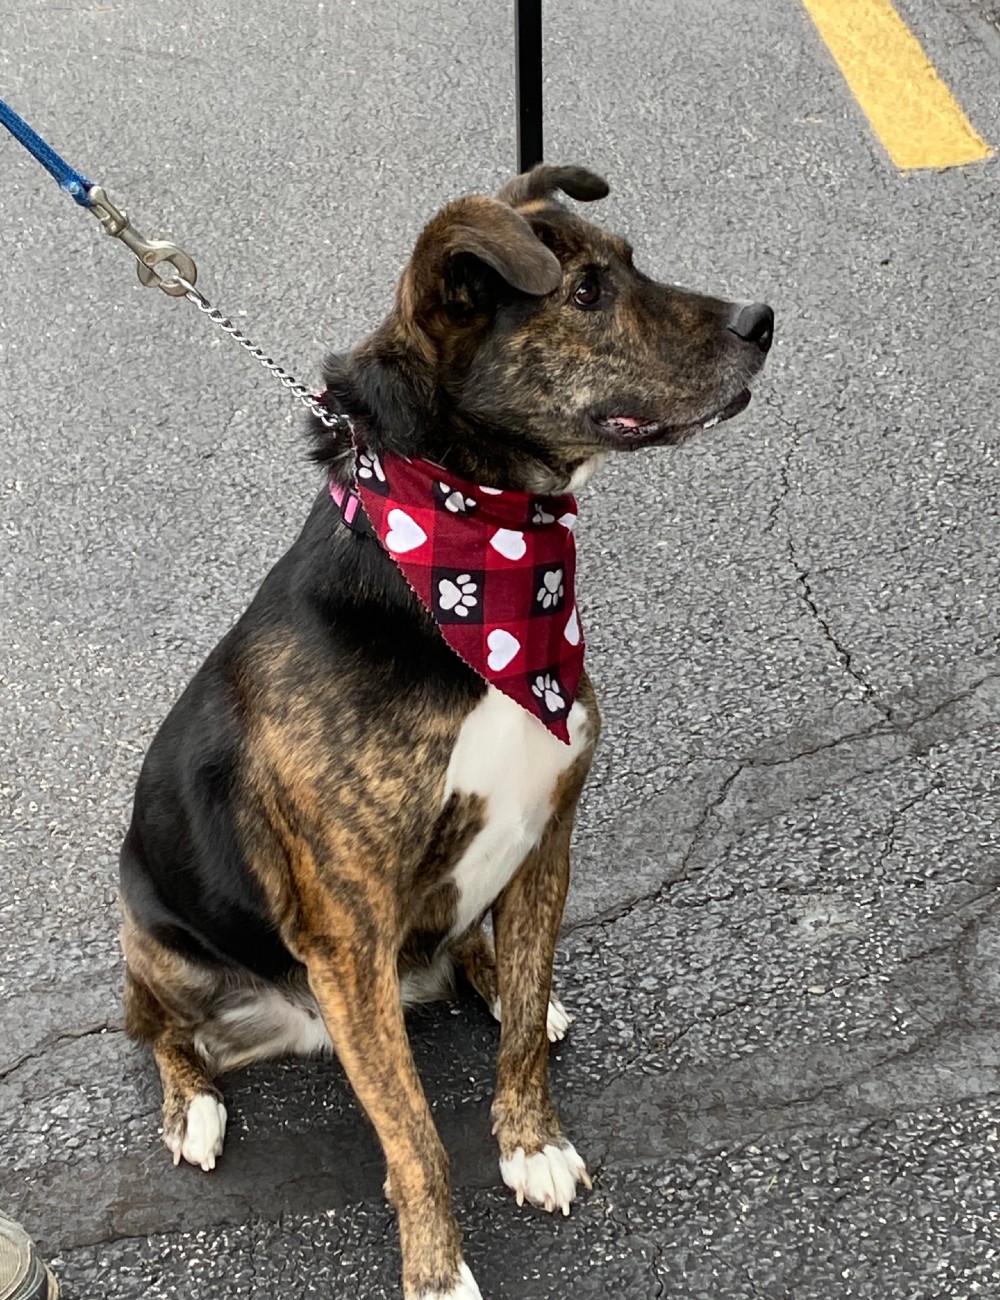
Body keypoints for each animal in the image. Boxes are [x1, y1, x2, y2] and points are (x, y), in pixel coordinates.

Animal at [118, 165, 769, 1300]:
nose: (761, 322)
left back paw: (498, 981)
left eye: (628, 262)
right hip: (162, 939)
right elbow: (414, 1134)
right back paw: (190, 1101)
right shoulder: (348, 938)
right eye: (588, 292)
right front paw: (437, 1269)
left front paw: (531, 1140)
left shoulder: (548, 837)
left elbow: (521, 1039)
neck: (473, 570)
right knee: (155, 1023)